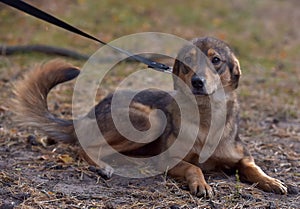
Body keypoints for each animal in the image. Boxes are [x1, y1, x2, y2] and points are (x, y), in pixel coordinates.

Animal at [12, 36, 288, 197]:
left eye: (216, 60)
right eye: (187, 62)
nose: (197, 82)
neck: (205, 116)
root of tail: (90, 111)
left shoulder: (243, 156)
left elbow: (252, 167)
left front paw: (271, 181)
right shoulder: (173, 160)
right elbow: (193, 168)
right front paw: (200, 183)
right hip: (150, 121)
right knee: (84, 147)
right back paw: (104, 166)